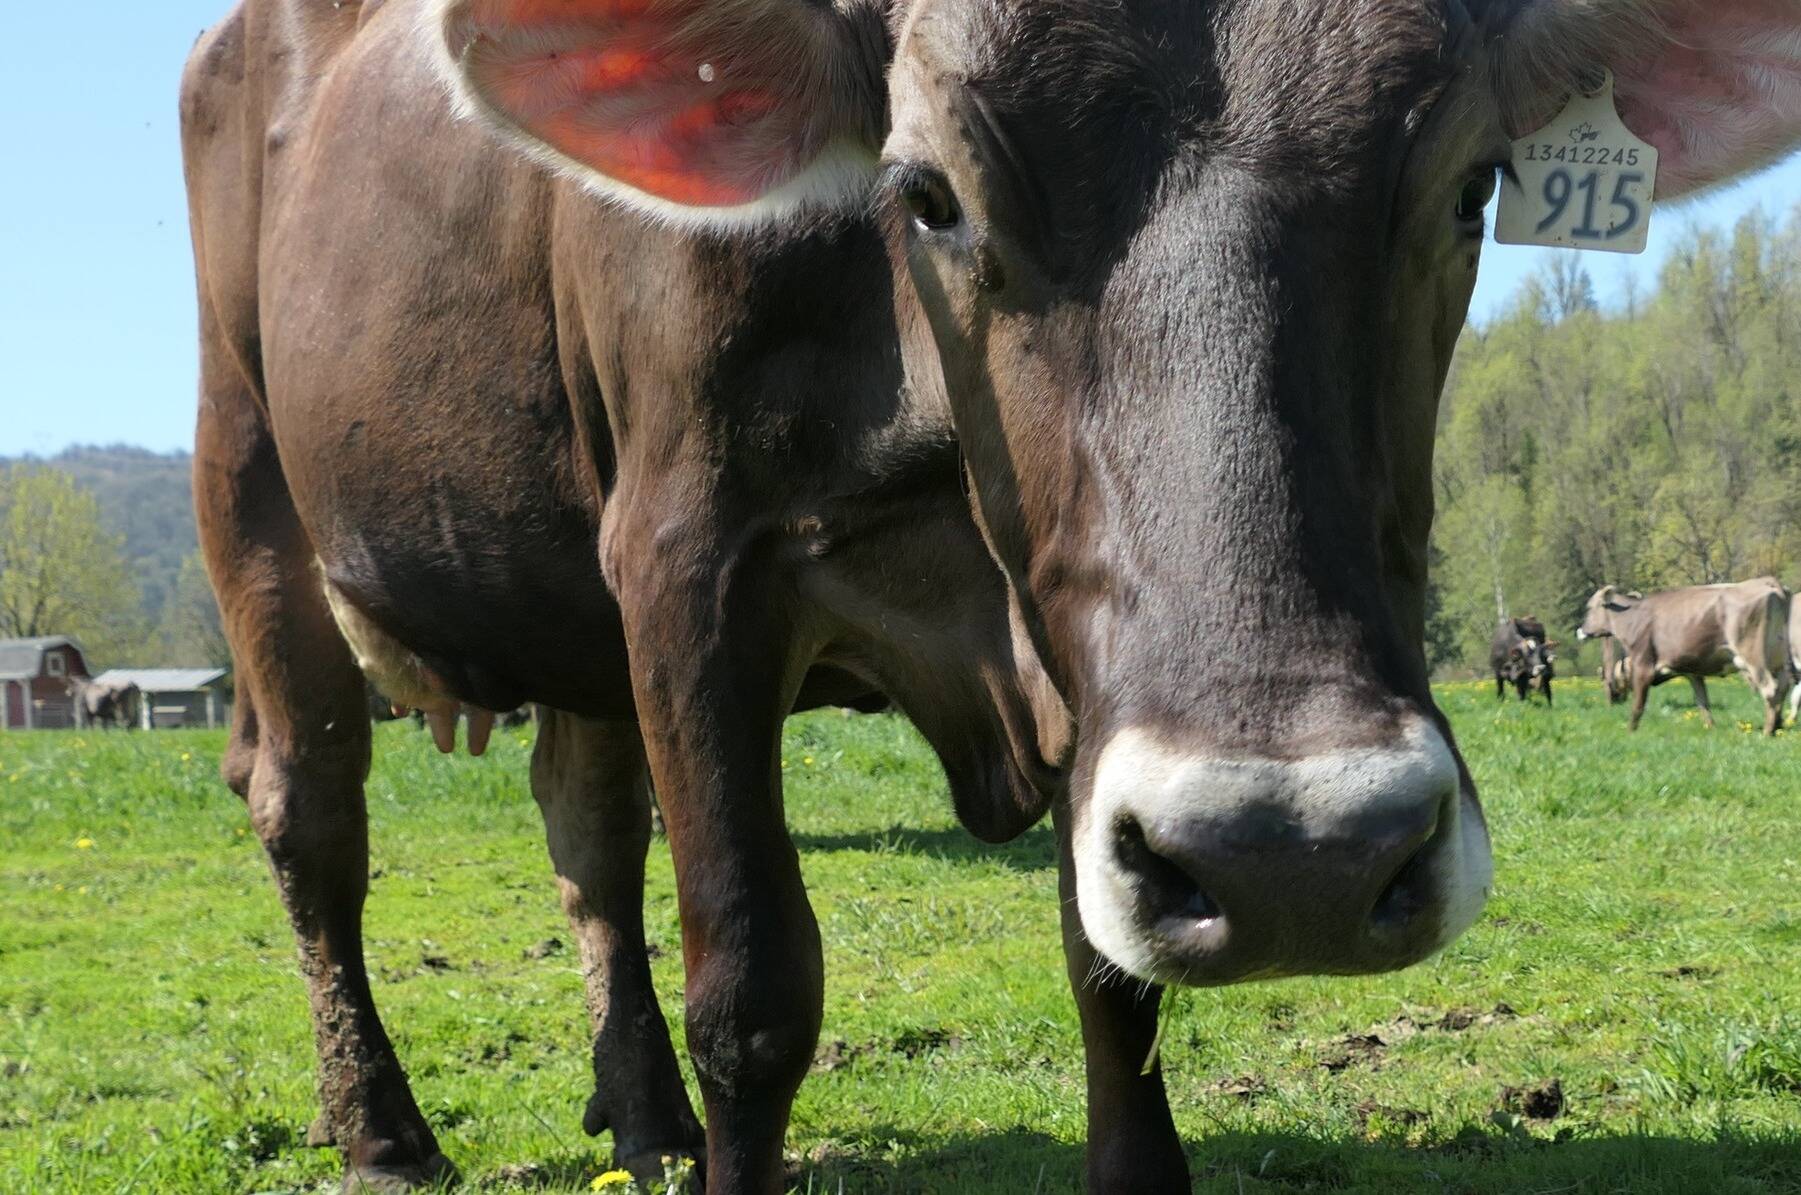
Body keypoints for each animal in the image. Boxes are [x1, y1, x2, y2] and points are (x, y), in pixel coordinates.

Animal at [1584, 579, 1793, 737]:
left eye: (1589, 607)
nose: (1581, 629)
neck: (1633, 617)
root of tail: (1768, 582)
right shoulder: (1692, 671)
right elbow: (1702, 701)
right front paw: (1711, 728)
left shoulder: (1643, 664)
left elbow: (1638, 703)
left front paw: (1630, 731)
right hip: (1778, 659)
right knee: (1783, 686)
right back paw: (1778, 726)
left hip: (1754, 658)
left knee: (1770, 689)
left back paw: (1767, 732)